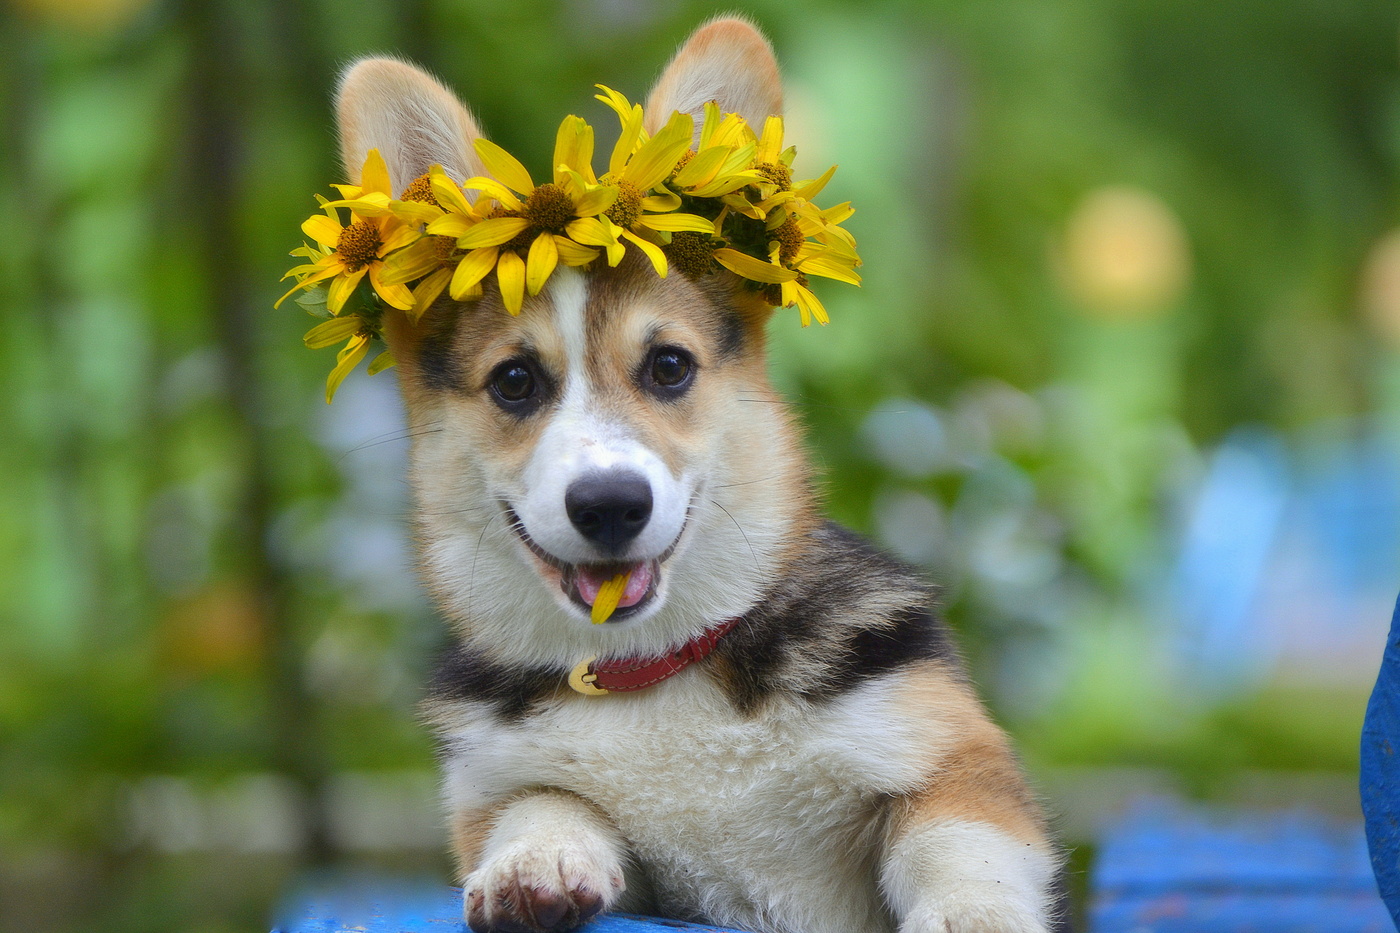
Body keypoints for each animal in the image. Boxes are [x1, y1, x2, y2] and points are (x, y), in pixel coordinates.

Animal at [330, 14, 1058, 930]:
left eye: (669, 366)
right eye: (515, 381)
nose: (611, 505)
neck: (658, 664)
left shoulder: (949, 756)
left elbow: (960, 844)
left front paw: (968, 913)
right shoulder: (500, 788)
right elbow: (540, 800)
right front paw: (534, 861)